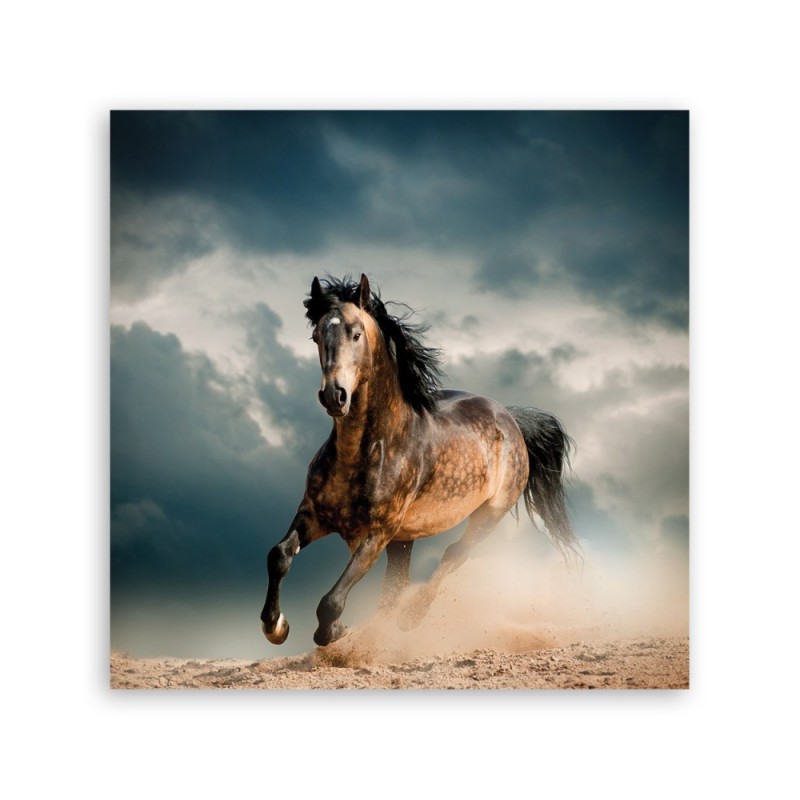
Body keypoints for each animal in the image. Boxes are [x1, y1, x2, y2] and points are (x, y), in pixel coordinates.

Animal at [260, 274, 580, 647]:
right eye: (316, 336)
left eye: (356, 333)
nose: (334, 395)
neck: (367, 450)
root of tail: (511, 419)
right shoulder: (314, 515)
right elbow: (279, 555)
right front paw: (275, 626)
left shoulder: (376, 534)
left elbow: (331, 601)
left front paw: (335, 631)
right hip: (405, 539)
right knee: (396, 586)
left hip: (488, 515)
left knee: (453, 555)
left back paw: (411, 618)